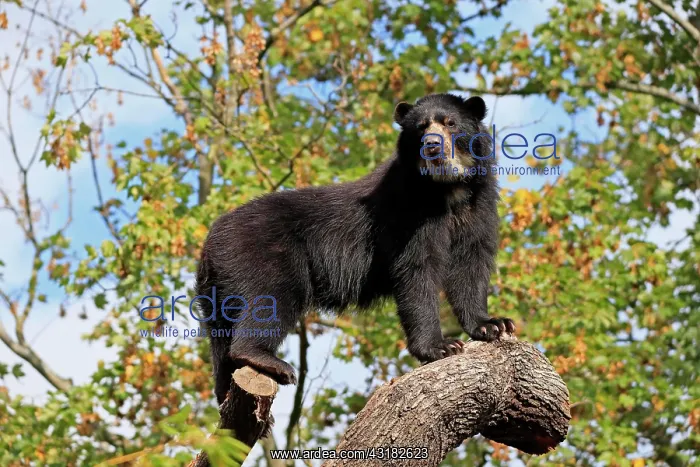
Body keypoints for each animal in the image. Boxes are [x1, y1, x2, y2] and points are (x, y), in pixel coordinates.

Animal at [195, 92, 515, 405]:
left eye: (450, 123)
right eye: (421, 127)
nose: (432, 145)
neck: (446, 189)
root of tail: (210, 242)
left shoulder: (479, 207)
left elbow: (471, 264)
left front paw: (493, 325)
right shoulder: (409, 214)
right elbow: (416, 270)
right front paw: (441, 347)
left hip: (218, 292)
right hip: (262, 254)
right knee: (271, 298)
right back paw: (271, 362)